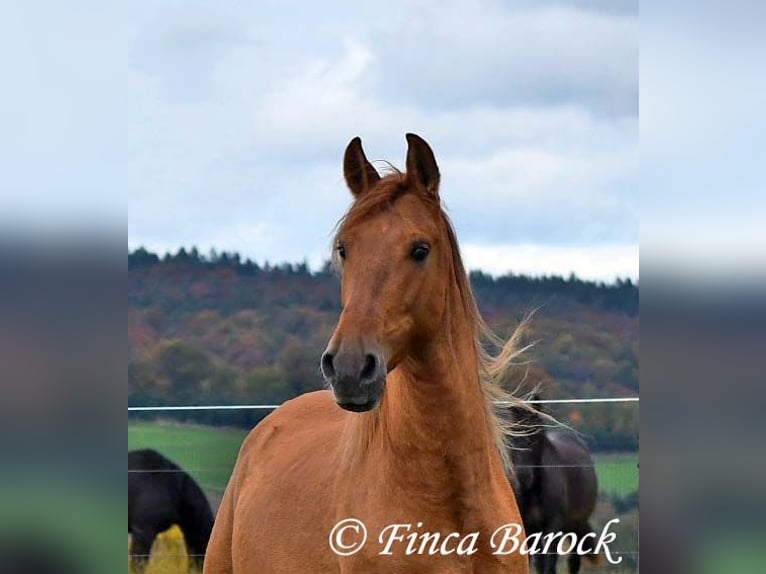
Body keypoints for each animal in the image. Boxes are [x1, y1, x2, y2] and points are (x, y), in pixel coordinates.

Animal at [508, 398, 598, 574]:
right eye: (513, 436)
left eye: (535, 436)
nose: (523, 476)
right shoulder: (529, 527)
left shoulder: (553, 526)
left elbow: (550, 565)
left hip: (575, 526)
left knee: (573, 561)